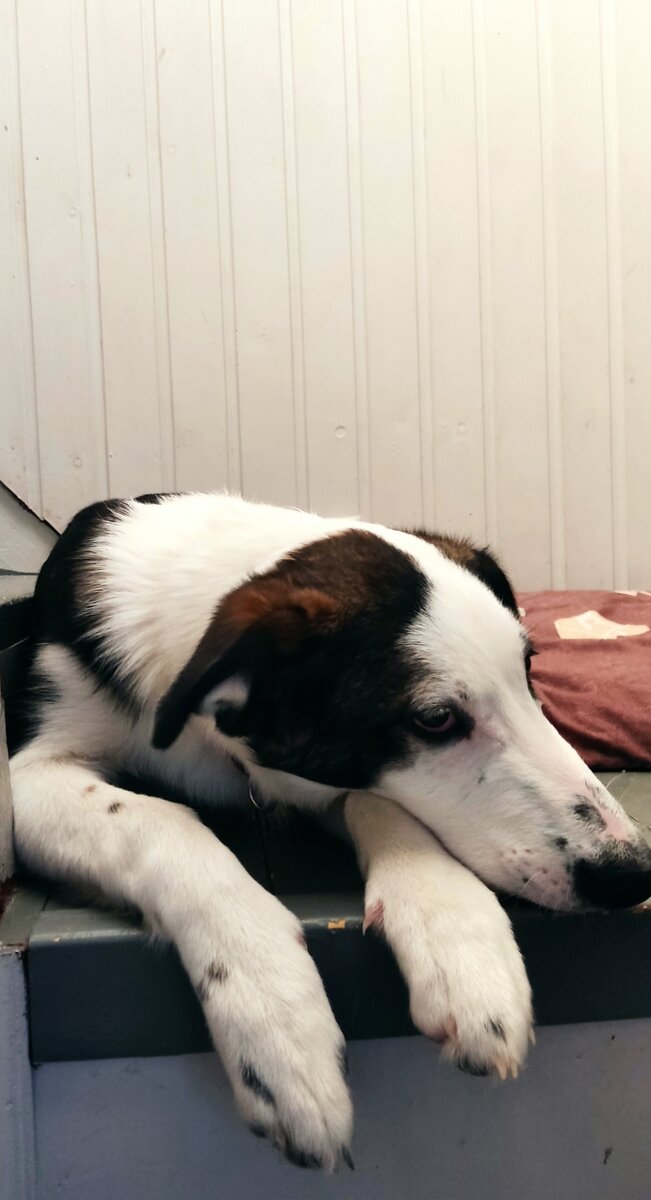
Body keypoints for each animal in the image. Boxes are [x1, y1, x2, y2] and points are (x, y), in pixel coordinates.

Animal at [9, 492, 651, 1170]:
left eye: (529, 674)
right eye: (435, 719)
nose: (633, 873)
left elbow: (376, 803)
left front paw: (456, 933)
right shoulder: (28, 777)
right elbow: (158, 819)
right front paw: (274, 1008)